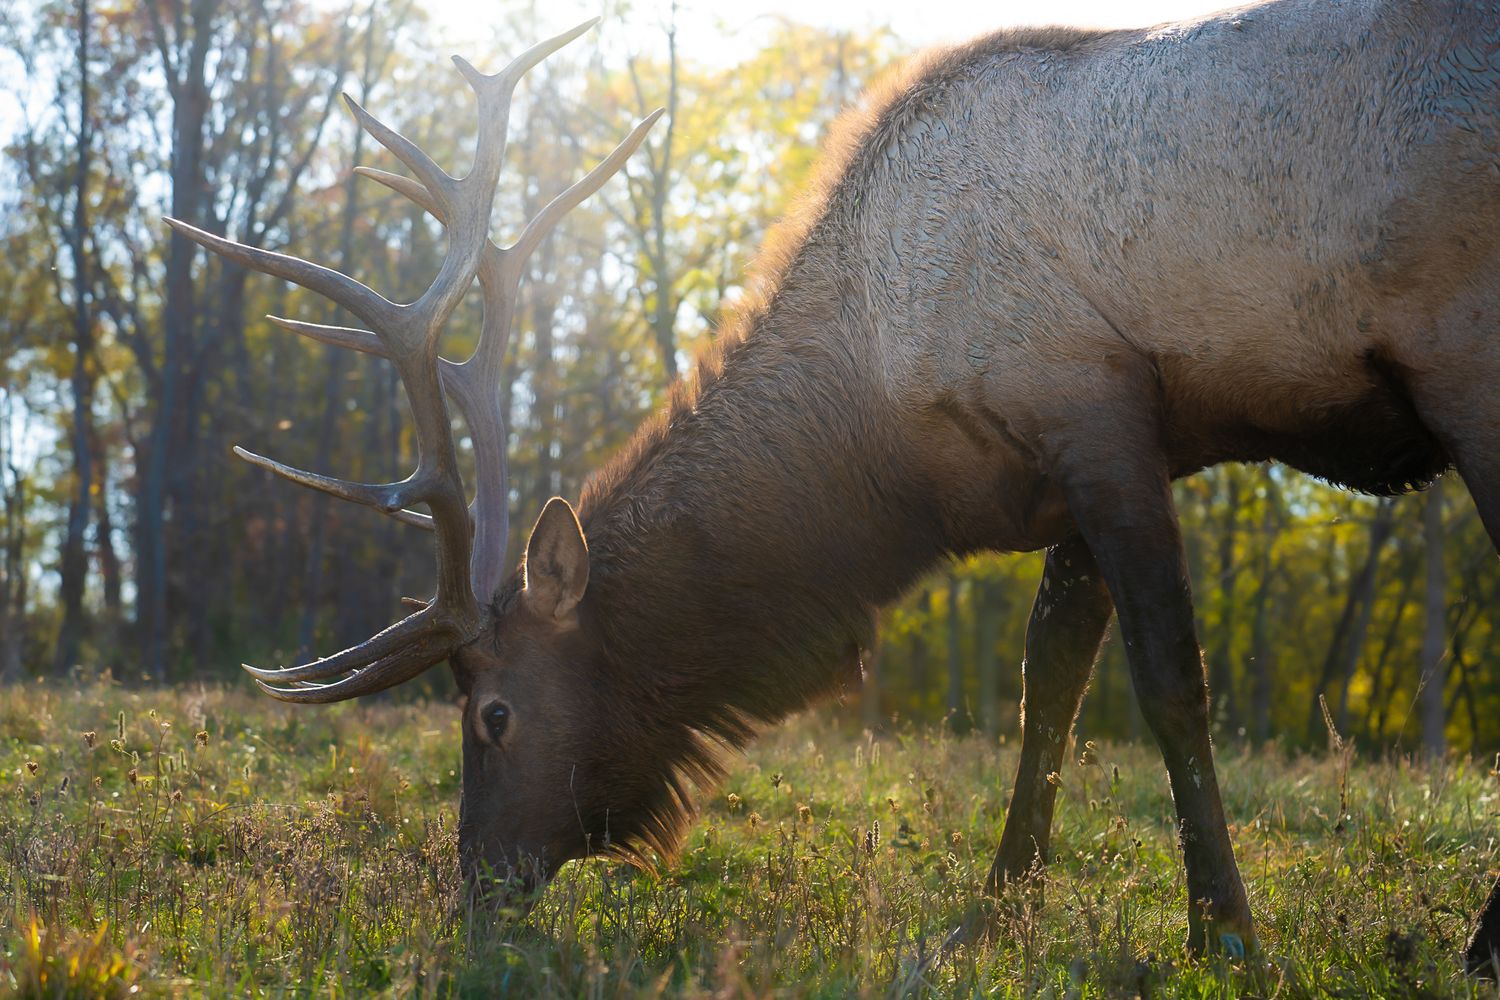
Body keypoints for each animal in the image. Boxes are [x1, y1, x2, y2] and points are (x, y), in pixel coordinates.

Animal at [167, 2, 1500, 968]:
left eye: (489, 713)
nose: (473, 891)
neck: (890, 438)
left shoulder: (1094, 404)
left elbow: (1169, 684)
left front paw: (1225, 934)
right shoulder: (1090, 455)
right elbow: (1048, 687)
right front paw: (992, 914)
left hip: (1466, 352)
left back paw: (1479, 941)